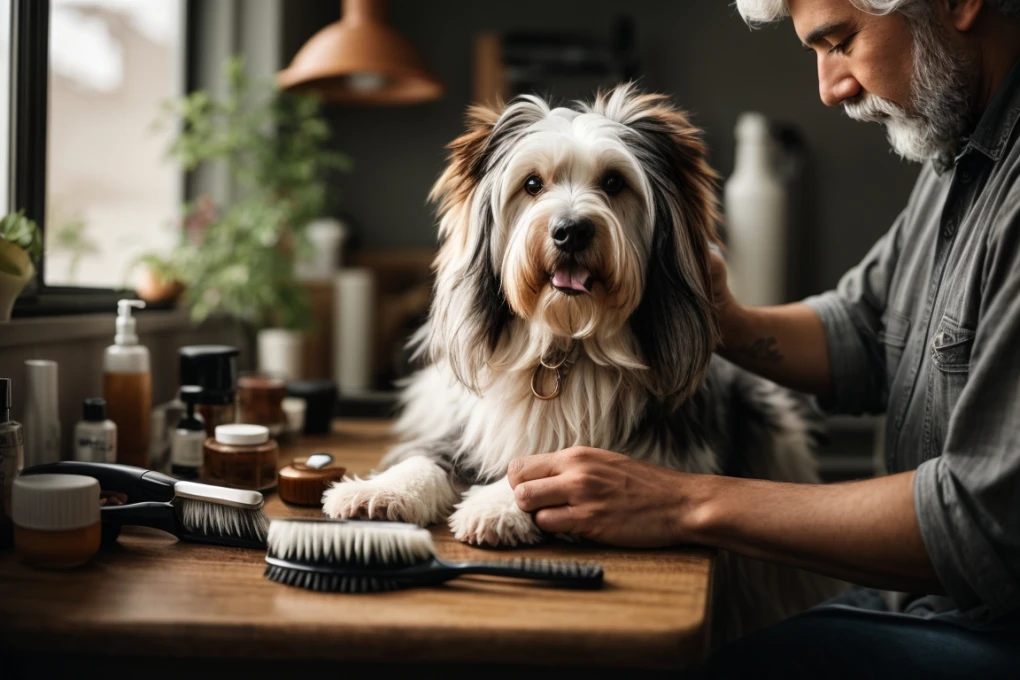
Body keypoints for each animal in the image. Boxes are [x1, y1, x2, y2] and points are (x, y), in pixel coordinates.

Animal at [322, 85, 840, 644]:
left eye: (614, 182)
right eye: (532, 184)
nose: (571, 231)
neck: (566, 343)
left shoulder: (664, 448)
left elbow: (552, 464)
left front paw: (500, 504)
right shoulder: (462, 424)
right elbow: (425, 457)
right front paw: (381, 491)